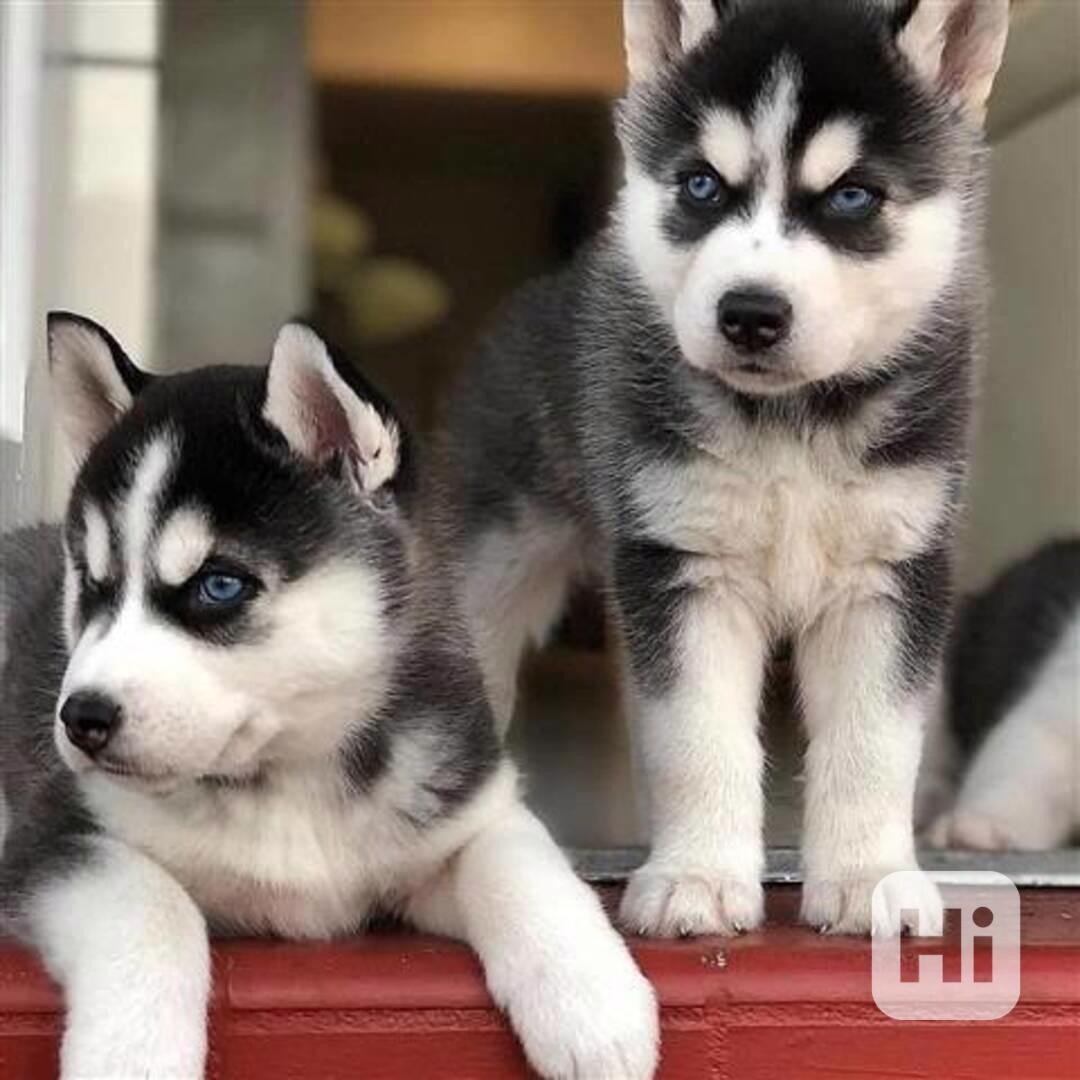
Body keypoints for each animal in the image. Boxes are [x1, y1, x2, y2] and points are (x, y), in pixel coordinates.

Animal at [0, 315, 656, 1080]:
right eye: (93, 582)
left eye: (218, 585)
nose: (82, 718)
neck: (291, 775)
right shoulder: (57, 838)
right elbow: (152, 904)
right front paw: (133, 1058)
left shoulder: (459, 811)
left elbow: (522, 863)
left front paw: (594, 1006)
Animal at [434, 0, 1006, 937]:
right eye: (702, 185)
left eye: (853, 196)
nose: (749, 313)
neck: (791, 423)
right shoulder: (684, 570)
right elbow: (698, 736)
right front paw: (697, 877)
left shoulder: (891, 573)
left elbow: (874, 744)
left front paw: (870, 878)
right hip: (493, 562)